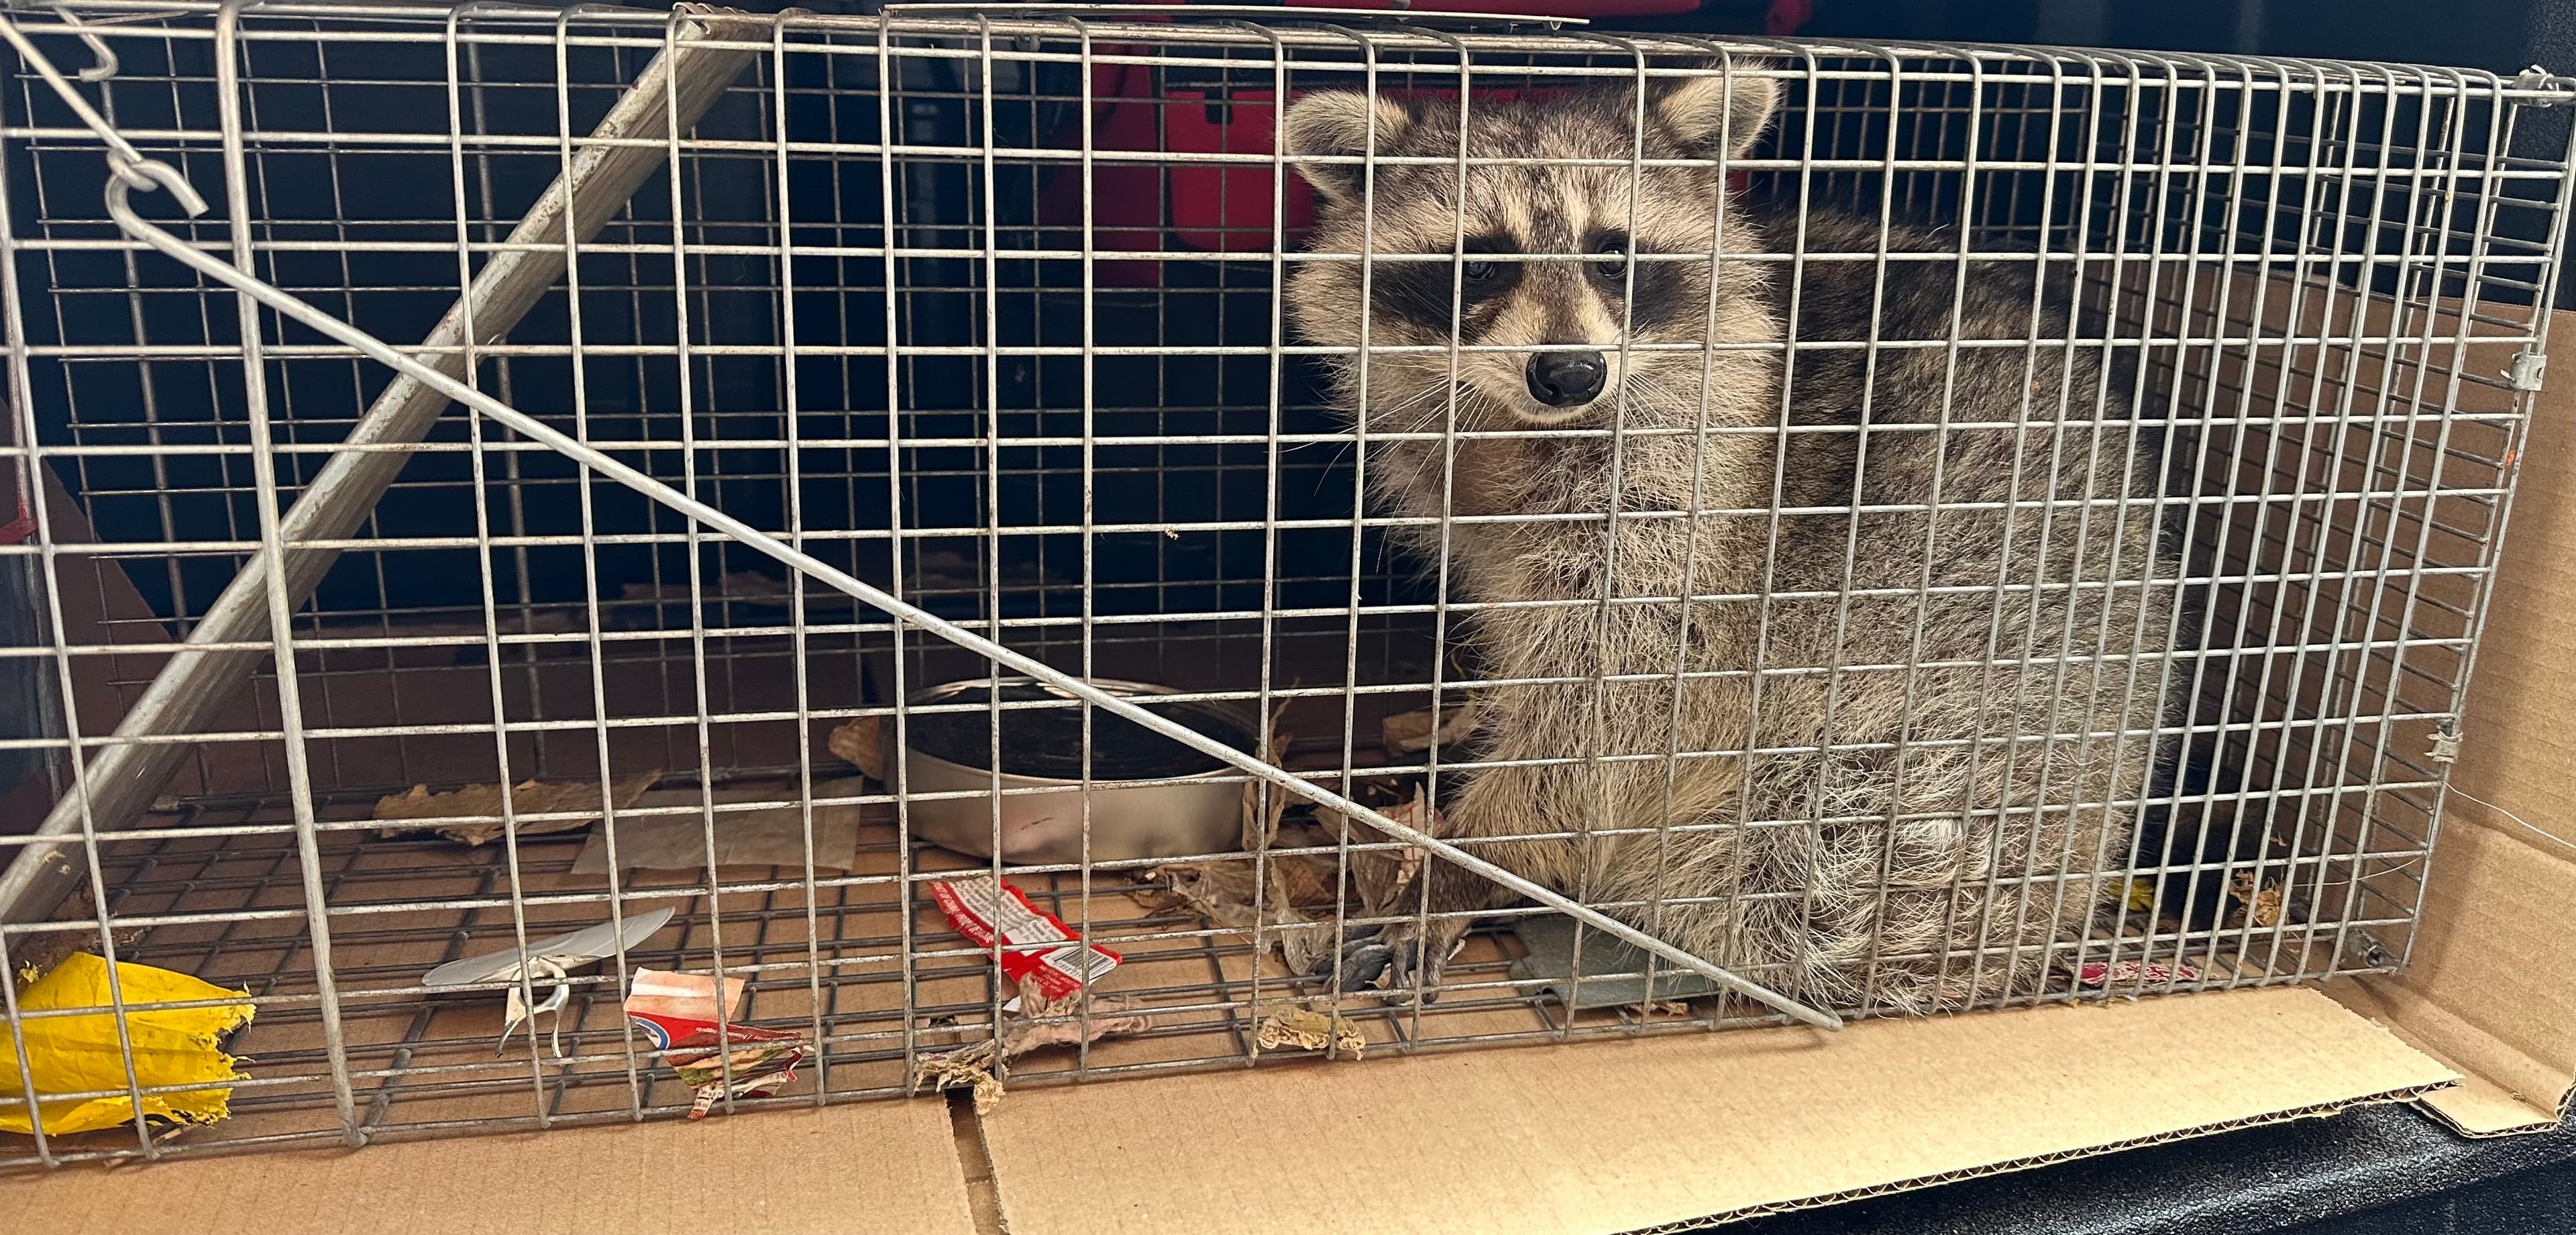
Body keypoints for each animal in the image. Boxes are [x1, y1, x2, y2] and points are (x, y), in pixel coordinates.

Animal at [1280, 66, 2176, 1015]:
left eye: (1615, 254)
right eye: (1480, 258)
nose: (1571, 373)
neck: (1520, 430)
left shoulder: (1691, 508)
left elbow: (1611, 719)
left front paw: (1473, 860)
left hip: (1942, 765)